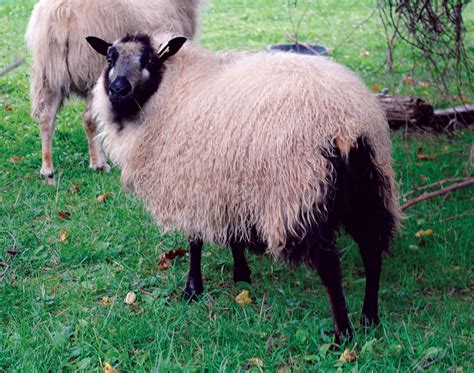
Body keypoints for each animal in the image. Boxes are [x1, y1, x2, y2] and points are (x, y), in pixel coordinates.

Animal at [25, 0, 204, 183]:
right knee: (89, 118)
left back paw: (47, 170)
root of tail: (63, 14)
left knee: (46, 118)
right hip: (94, 74)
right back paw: (98, 163)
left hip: (47, 75)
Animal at [87, 33, 402, 342]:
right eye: (110, 57)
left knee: (330, 267)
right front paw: (241, 275)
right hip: (370, 187)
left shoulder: (192, 184)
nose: (118, 89)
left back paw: (343, 333)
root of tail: (347, 123)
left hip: (301, 193)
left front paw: (192, 289)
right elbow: (233, 234)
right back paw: (369, 317)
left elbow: (195, 241)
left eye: (150, 60)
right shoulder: (227, 184)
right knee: (372, 251)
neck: (172, 88)